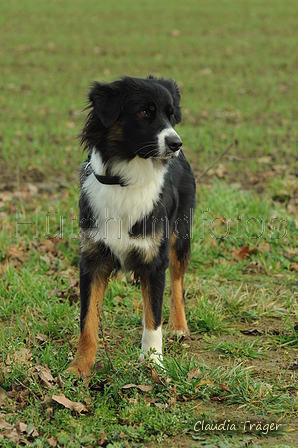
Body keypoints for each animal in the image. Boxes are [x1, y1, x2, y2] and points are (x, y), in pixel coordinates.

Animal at [68, 75, 197, 376]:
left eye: (170, 114)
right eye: (144, 112)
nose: (176, 143)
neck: (126, 181)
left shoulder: (155, 259)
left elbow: (153, 319)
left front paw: (153, 363)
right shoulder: (92, 258)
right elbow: (87, 320)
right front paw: (80, 368)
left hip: (180, 236)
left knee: (176, 281)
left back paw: (179, 326)